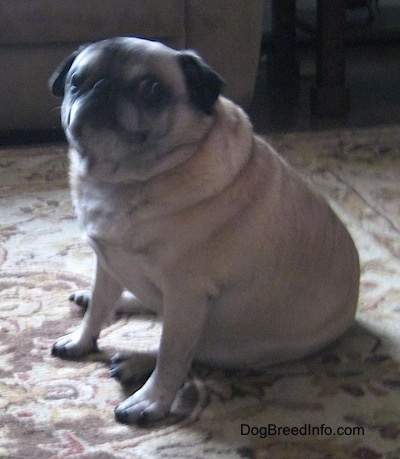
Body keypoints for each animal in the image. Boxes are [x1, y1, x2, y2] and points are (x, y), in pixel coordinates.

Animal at [49, 37, 360, 426]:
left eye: (152, 90)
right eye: (77, 81)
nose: (101, 87)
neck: (123, 180)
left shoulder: (187, 295)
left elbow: (172, 354)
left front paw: (152, 400)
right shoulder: (108, 262)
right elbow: (98, 311)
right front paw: (81, 340)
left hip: (231, 343)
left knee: (190, 350)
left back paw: (137, 362)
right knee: (131, 302)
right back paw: (104, 302)